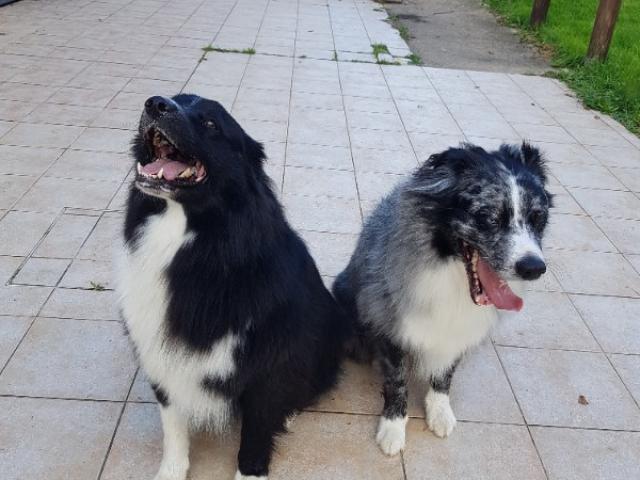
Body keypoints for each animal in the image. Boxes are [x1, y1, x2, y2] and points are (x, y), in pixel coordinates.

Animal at [119, 94, 350, 480]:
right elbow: (172, 423)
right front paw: (172, 470)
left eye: (211, 123)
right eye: (176, 97)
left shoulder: (269, 363)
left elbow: (256, 433)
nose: (155, 103)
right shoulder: (159, 349)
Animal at [336, 142, 552, 454]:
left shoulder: (459, 331)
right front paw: (393, 429)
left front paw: (439, 412)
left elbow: (445, 375)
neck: (453, 276)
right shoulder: (389, 321)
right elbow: (397, 381)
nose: (533, 268)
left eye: (539, 218)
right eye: (489, 217)